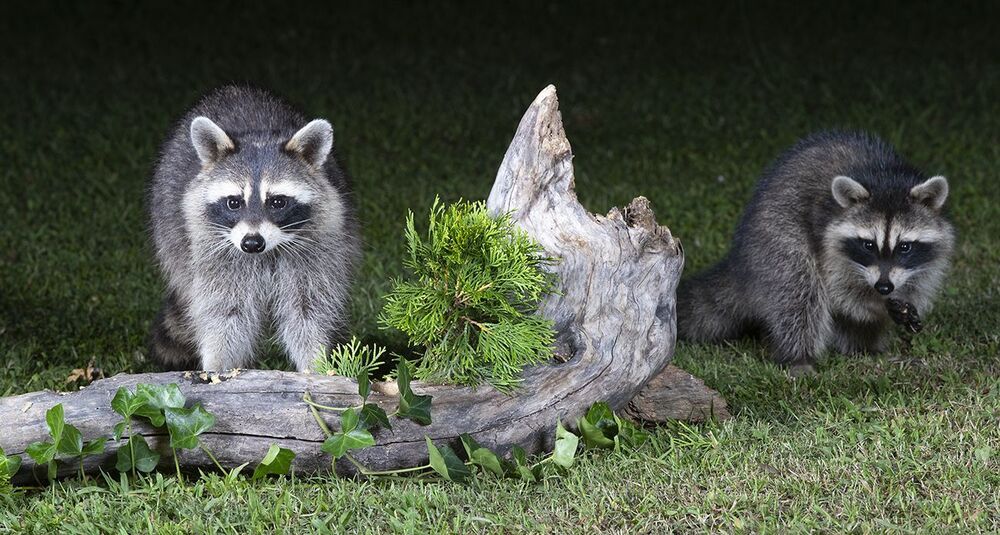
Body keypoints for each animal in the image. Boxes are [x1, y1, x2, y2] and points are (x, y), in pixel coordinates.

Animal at [148, 85, 360, 372]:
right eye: (234, 202)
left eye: (278, 202)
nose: (252, 243)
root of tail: (233, 89)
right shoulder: (215, 251)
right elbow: (226, 312)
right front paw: (216, 366)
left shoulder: (319, 246)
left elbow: (307, 309)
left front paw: (315, 366)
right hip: (173, 237)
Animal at [677, 131, 954, 373]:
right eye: (868, 245)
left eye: (905, 246)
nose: (883, 287)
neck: (886, 177)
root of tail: (740, 259)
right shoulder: (827, 238)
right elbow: (839, 293)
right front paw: (875, 305)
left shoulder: (928, 257)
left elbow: (919, 282)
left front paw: (900, 300)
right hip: (776, 238)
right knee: (799, 293)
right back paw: (800, 357)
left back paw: (864, 346)